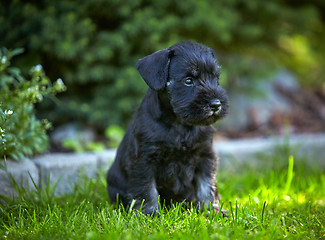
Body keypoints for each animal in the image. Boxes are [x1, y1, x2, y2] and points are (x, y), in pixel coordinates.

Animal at [106, 41, 228, 216]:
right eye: (188, 80)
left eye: (215, 78)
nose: (216, 104)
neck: (180, 124)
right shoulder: (144, 160)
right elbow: (147, 189)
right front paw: (151, 214)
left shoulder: (205, 155)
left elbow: (206, 185)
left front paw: (211, 209)